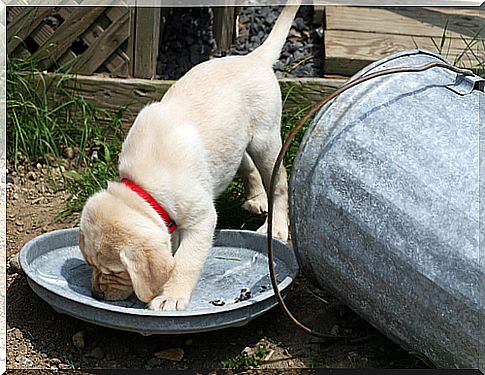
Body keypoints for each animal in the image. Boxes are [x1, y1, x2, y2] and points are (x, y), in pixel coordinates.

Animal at [78, 0, 298, 312]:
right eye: (90, 265)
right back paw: (256, 198)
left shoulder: (201, 220)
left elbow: (184, 261)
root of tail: (252, 59)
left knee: (278, 183)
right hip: (234, 142)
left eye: (115, 272)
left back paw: (276, 226)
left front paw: (170, 295)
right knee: (246, 165)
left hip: (265, 139)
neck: (143, 186)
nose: (96, 294)